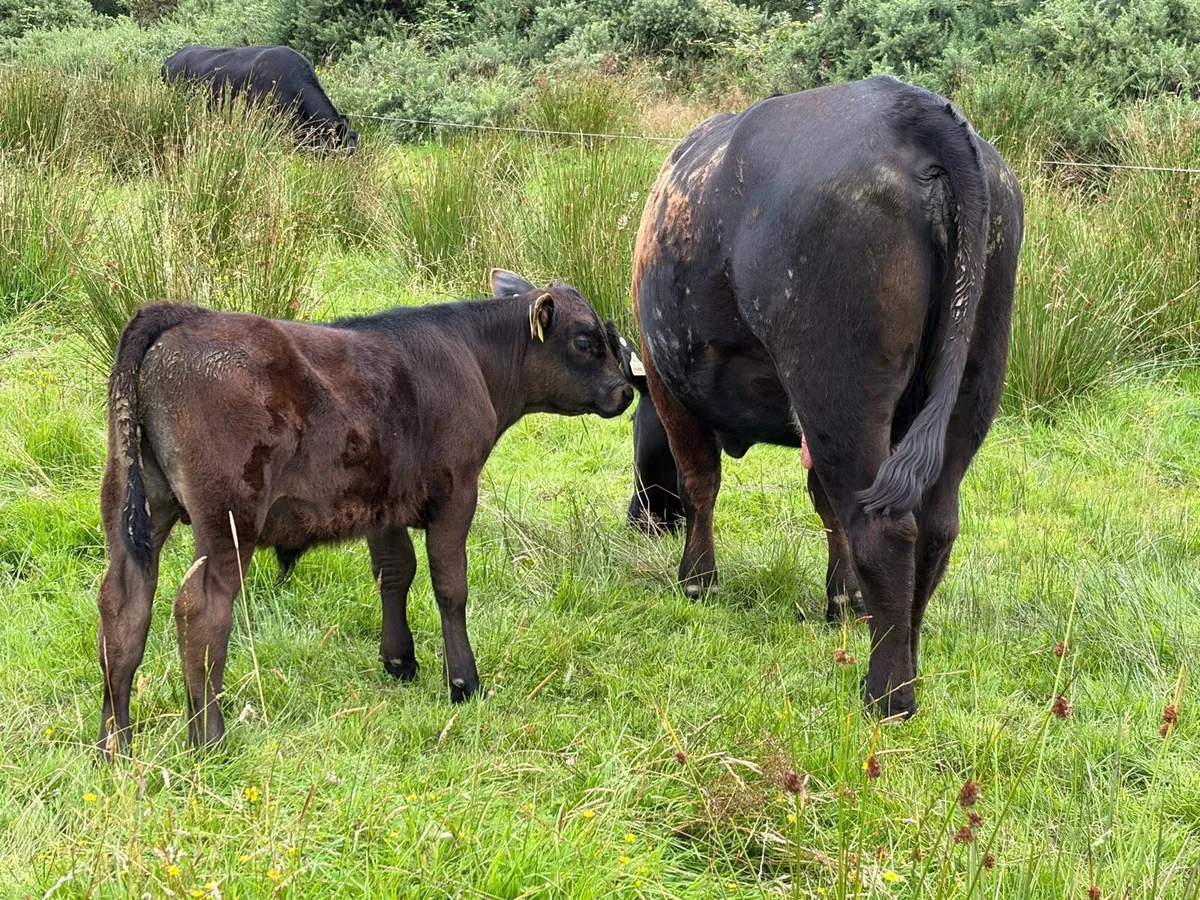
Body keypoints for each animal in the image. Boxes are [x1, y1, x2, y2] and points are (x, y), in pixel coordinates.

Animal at [96, 271, 634, 754]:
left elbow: (394, 572)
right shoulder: (457, 492)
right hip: (229, 518)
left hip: (135, 509)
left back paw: (115, 745)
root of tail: (185, 315)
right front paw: (463, 682)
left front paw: (399, 661)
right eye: (585, 340)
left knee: (122, 606)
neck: (472, 357)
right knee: (201, 610)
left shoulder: (384, 502)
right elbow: (449, 585)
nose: (626, 391)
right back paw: (209, 740)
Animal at [627, 76, 1024, 719]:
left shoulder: (670, 386)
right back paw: (908, 665)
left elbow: (699, 483)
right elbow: (825, 505)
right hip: (970, 383)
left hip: (837, 389)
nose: (637, 519)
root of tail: (913, 107)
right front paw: (843, 601)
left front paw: (697, 581)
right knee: (933, 527)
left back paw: (887, 694)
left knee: (886, 531)